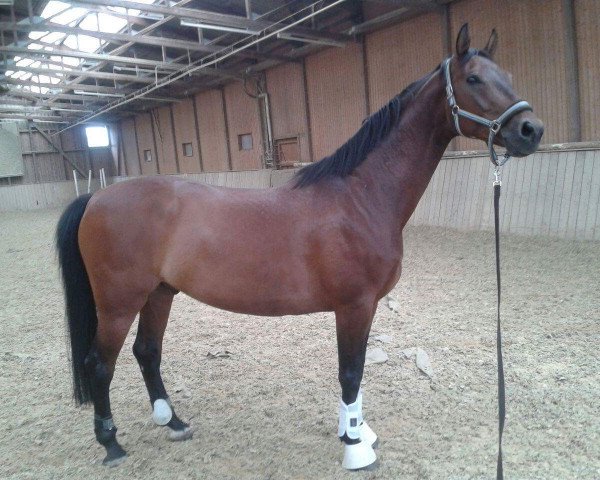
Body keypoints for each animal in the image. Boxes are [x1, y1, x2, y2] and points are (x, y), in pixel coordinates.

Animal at [56, 24, 544, 470]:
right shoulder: (354, 305)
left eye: (508, 75)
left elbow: (355, 373)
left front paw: (356, 431)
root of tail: (96, 197)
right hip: (119, 302)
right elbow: (351, 372)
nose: (531, 129)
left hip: (159, 293)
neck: (360, 197)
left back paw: (173, 422)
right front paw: (355, 448)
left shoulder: (363, 307)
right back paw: (111, 444)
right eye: (474, 79)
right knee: (99, 363)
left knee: (147, 352)